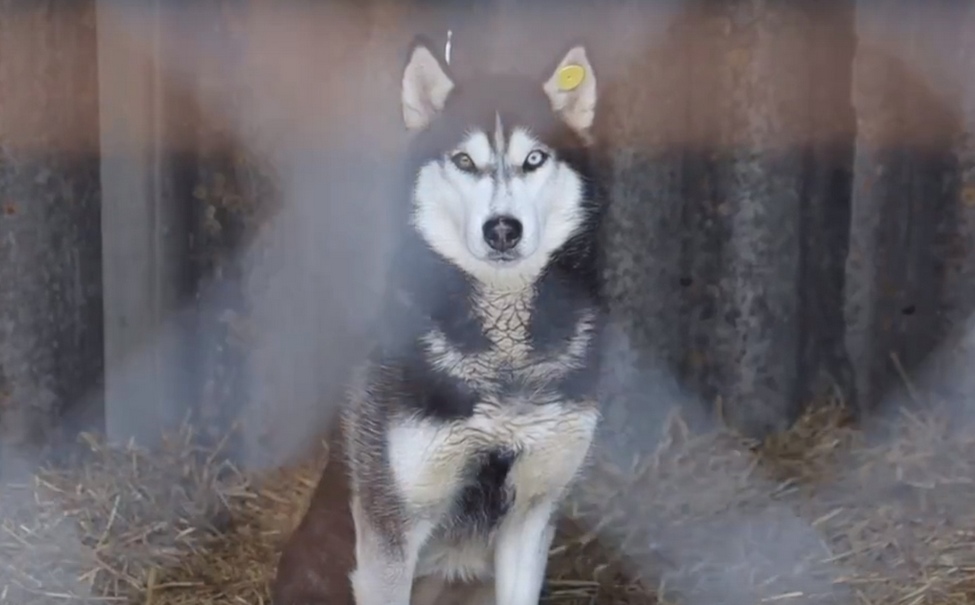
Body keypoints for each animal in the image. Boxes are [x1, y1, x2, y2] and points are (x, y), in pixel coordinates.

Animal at [344, 37, 608, 604]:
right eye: (465, 160)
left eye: (535, 159)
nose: (502, 229)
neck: (503, 360)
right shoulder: (390, 526)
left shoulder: (532, 512)